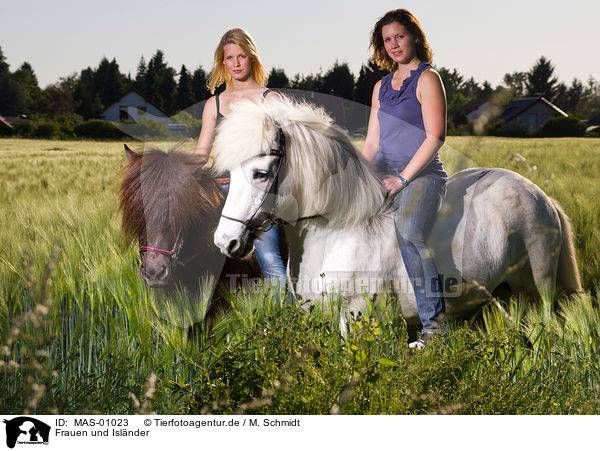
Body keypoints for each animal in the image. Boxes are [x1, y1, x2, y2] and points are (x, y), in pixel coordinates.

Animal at [212, 96, 580, 324]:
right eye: (229, 173)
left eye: (261, 174)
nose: (225, 241)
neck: (337, 230)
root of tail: (540, 195)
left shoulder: (356, 316)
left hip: (538, 287)